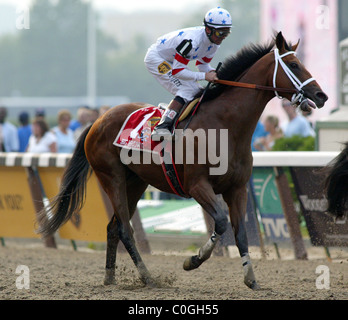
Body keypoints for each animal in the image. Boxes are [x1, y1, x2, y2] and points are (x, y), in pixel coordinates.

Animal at [36, 32, 328, 290]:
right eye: (294, 65)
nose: (321, 96)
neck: (226, 125)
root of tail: (98, 120)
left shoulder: (237, 188)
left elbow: (240, 232)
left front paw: (251, 279)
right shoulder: (197, 185)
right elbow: (220, 222)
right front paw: (193, 260)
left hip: (136, 182)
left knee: (113, 228)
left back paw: (110, 277)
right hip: (112, 178)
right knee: (125, 230)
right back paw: (148, 278)